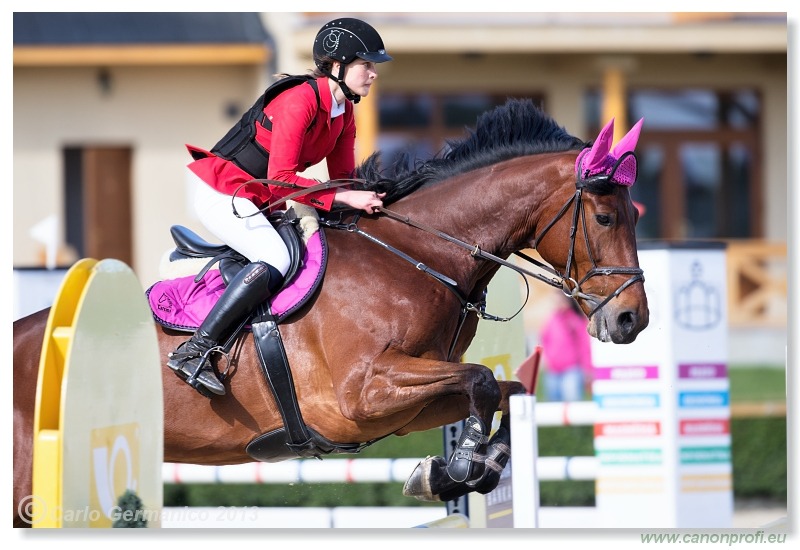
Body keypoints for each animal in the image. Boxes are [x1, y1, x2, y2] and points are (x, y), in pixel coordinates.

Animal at [14, 98, 648, 528]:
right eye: (606, 218)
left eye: (636, 215)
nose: (631, 321)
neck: (417, 256)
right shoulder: (361, 395)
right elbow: (484, 381)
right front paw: (462, 466)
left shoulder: (404, 406)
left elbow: (504, 390)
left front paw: (456, 468)